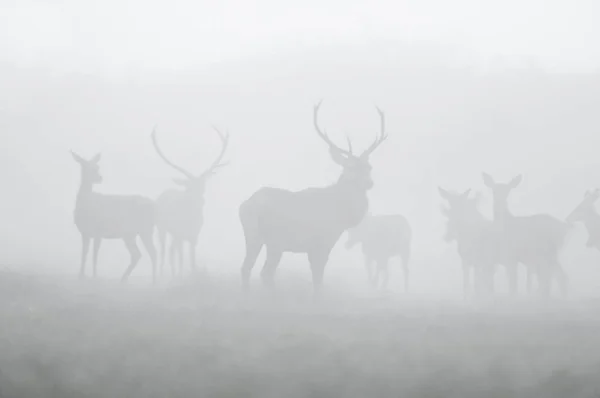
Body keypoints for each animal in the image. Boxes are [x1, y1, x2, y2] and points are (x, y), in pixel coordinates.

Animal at [70, 150, 157, 282]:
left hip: (143, 230)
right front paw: (81, 275)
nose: (99, 178)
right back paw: (124, 279)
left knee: (149, 253)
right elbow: (84, 254)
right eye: (85, 166)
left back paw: (153, 281)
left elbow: (94, 255)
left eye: (97, 166)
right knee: (140, 254)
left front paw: (94, 276)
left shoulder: (98, 232)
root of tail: (155, 207)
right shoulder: (85, 233)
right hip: (133, 233)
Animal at [151, 125, 231, 276]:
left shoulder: (194, 236)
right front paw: (179, 276)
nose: (201, 200)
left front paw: (190, 274)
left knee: (172, 250)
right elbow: (181, 258)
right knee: (165, 250)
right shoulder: (179, 233)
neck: (191, 219)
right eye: (190, 186)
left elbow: (192, 260)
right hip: (162, 228)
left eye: (203, 185)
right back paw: (163, 273)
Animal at [239, 100, 390, 292]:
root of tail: (247, 205)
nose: (369, 183)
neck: (342, 217)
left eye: (369, 167)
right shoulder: (323, 241)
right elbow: (318, 279)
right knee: (265, 272)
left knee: (247, 267)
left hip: (253, 236)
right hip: (275, 240)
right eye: (350, 167)